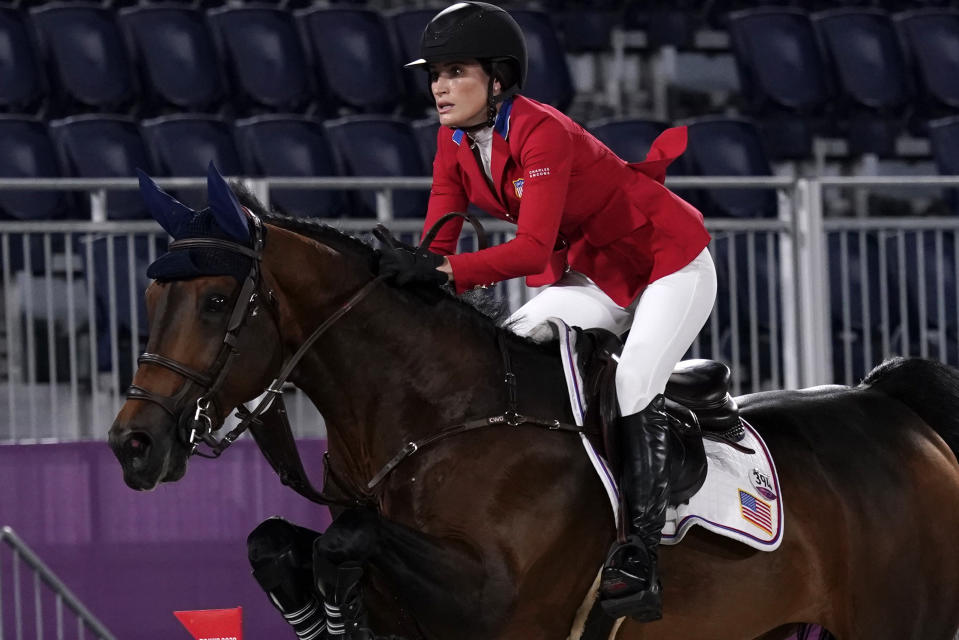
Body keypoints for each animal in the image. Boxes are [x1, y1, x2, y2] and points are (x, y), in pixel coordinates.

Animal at [109, 171, 959, 640]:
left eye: (217, 302)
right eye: (149, 299)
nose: (133, 444)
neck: (435, 418)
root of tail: (897, 411)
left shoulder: (494, 605)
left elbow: (345, 539)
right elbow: (276, 543)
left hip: (899, 621)